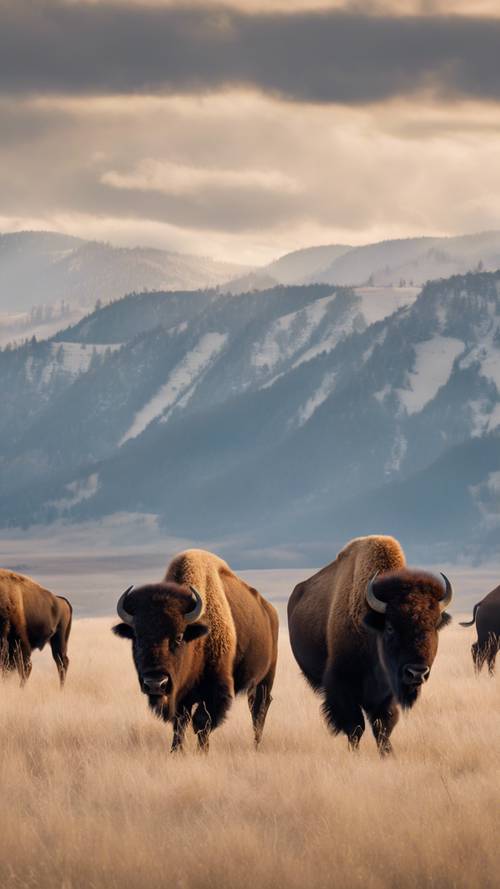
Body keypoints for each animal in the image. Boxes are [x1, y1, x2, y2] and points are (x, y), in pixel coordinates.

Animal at [111, 548, 280, 748]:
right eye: (136, 637)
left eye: (179, 637)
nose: (155, 683)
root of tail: (270, 611)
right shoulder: (179, 695)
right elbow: (180, 722)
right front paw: (176, 750)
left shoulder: (215, 690)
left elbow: (201, 721)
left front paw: (202, 751)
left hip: (266, 678)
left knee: (259, 709)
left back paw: (256, 745)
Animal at [286, 536, 454, 756]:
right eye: (390, 627)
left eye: (434, 625)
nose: (417, 672)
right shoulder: (342, 685)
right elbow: (355, 726)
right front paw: (355, 754)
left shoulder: (387, 692)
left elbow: (383, 726)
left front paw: (387, 754)